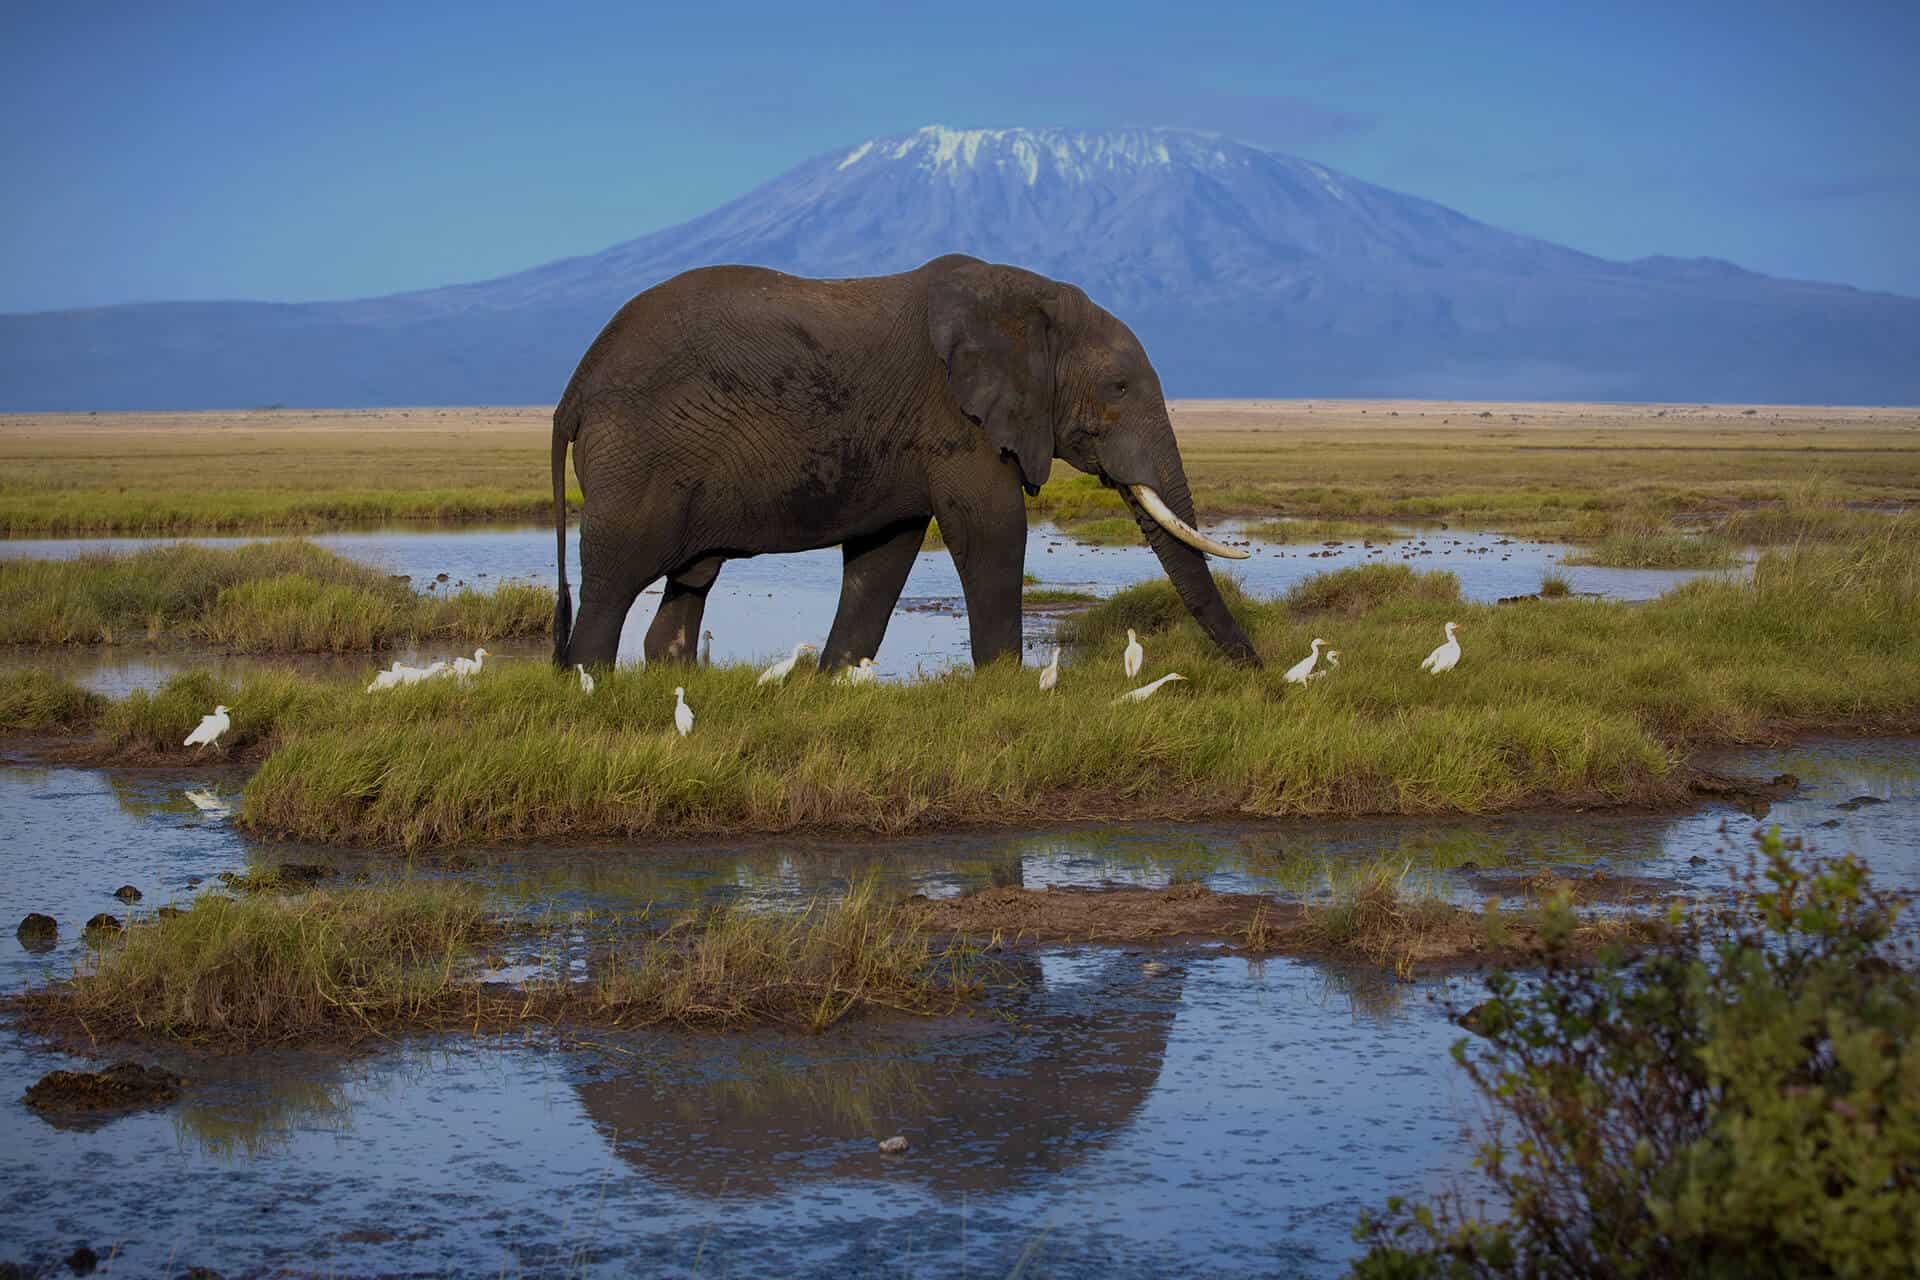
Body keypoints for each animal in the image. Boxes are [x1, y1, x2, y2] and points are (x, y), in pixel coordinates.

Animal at [549, 253, 1259, 673]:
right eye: (1118, 388)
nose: (1256, 673)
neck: (1028, 299)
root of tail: (574, 388)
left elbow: (884, 554)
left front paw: (833, 681)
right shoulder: (955, 419)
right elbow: (992, 529)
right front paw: (1003, 686)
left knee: (691, 581)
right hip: (636, 455)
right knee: (614, 578)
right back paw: (592, 685)